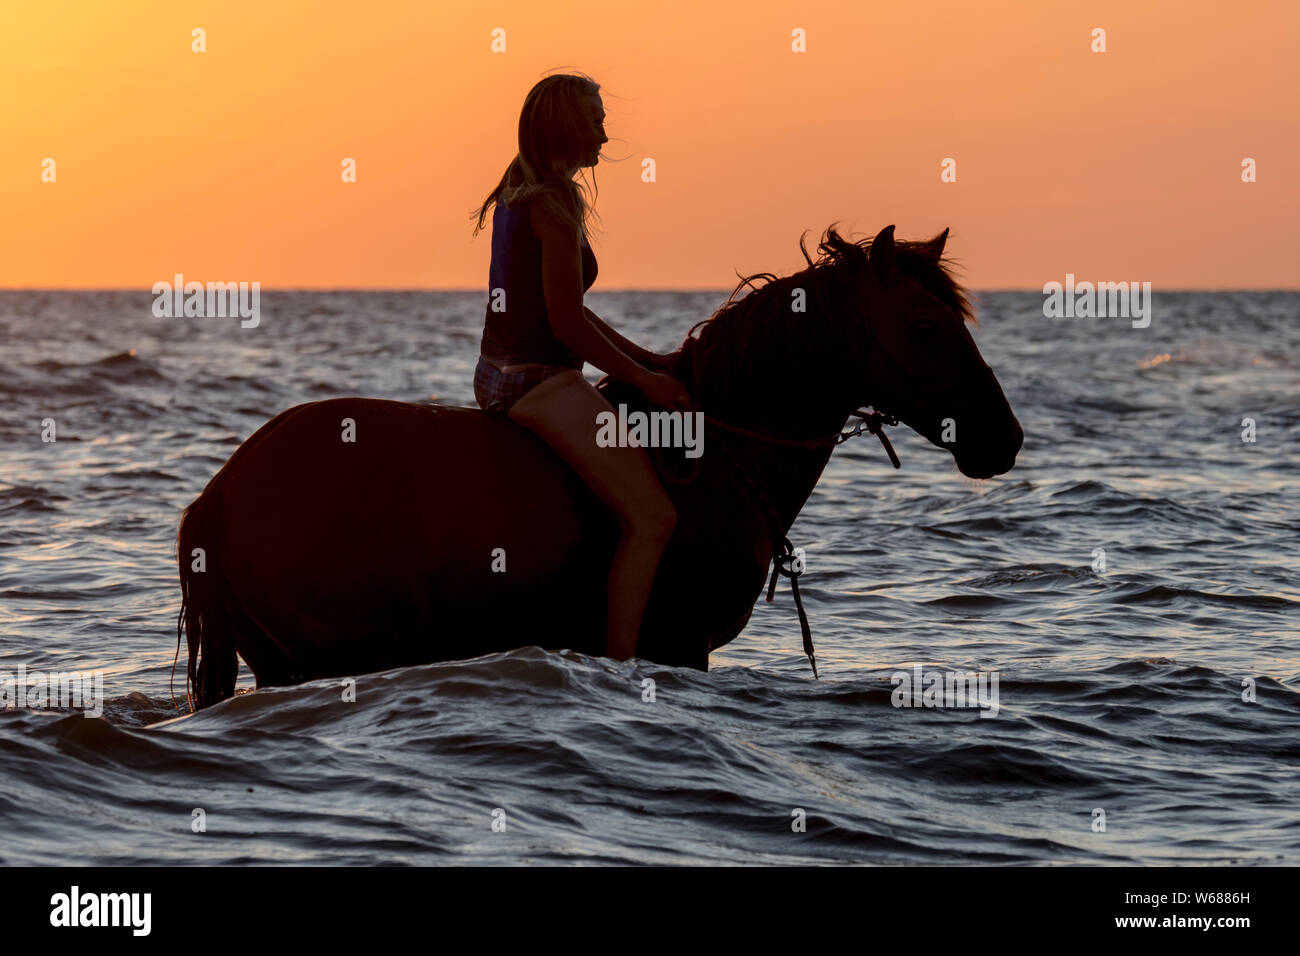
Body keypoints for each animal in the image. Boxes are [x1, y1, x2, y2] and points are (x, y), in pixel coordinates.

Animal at [175, 223, 1024, 712]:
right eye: (923, 327)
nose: (1004, 439)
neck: (724, 455)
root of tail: (220, 493)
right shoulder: (682, 645)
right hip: (324, 653)